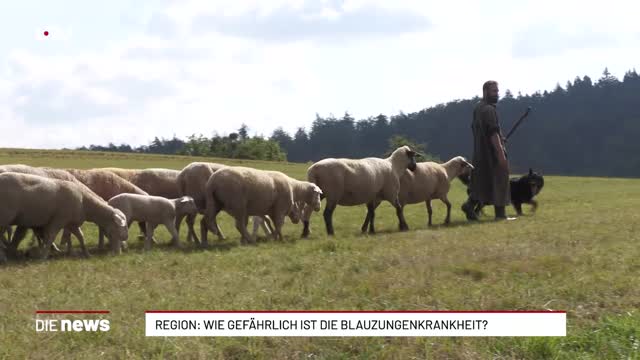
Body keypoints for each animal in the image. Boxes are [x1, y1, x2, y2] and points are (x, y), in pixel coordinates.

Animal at [0, 172, 129, 258]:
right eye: (120, 227)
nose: (118, 253)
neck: (85, 202)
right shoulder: (59, 220)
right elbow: (50, 236)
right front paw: (43, 256)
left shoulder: (71, 223)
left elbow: (80, 237)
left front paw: (86, 254)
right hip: (4, 217)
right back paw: (4, 257)